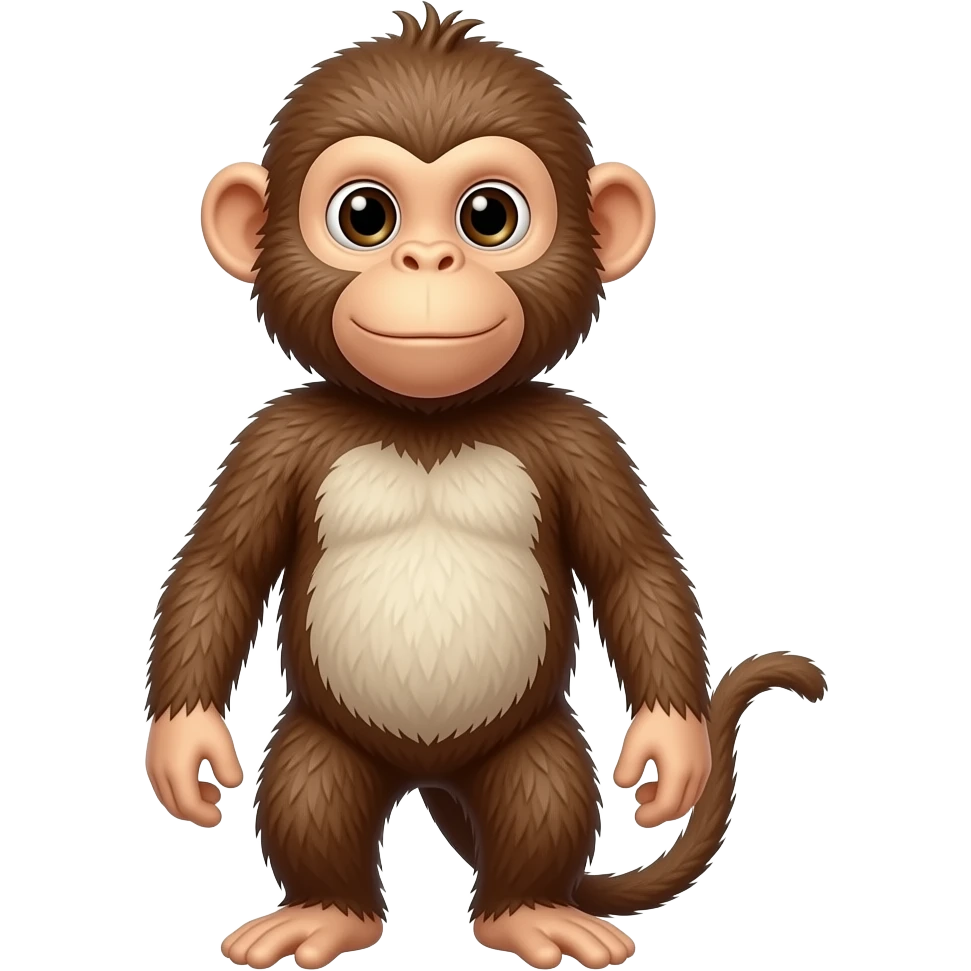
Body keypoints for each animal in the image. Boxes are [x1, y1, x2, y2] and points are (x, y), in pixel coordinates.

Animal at [145, 6, 829, 970]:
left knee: (540, 789)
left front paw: (671, 745)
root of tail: (429, 773)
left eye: (488, 216)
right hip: (327, 738)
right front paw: (183, 747)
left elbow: (634, 568)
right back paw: (325, 910)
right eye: (364, 215)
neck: (428, 420)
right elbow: (220, 569)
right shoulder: (272, 438)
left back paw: (527, 910)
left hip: (528, 740)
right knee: (313, 786)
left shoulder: (581, 438)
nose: (429, 259)